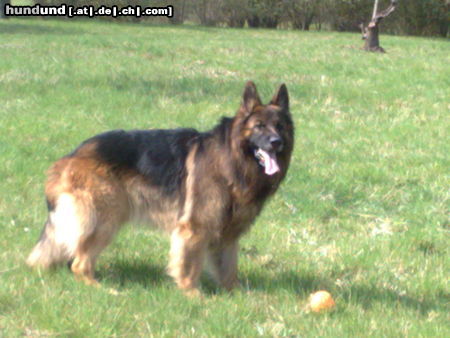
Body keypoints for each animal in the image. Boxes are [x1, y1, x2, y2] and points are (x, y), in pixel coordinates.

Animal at [28, 80, 296, 294]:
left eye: (280, 126)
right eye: (259, 126)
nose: (276, 142)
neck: (233, 158)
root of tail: (70, 157)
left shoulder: (229, 234)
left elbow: (229, 269)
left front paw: (237, 295)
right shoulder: (194, 228)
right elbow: (190, 265)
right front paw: (193, 295)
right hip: (105, 219)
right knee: (79, 263)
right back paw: (104, 290)